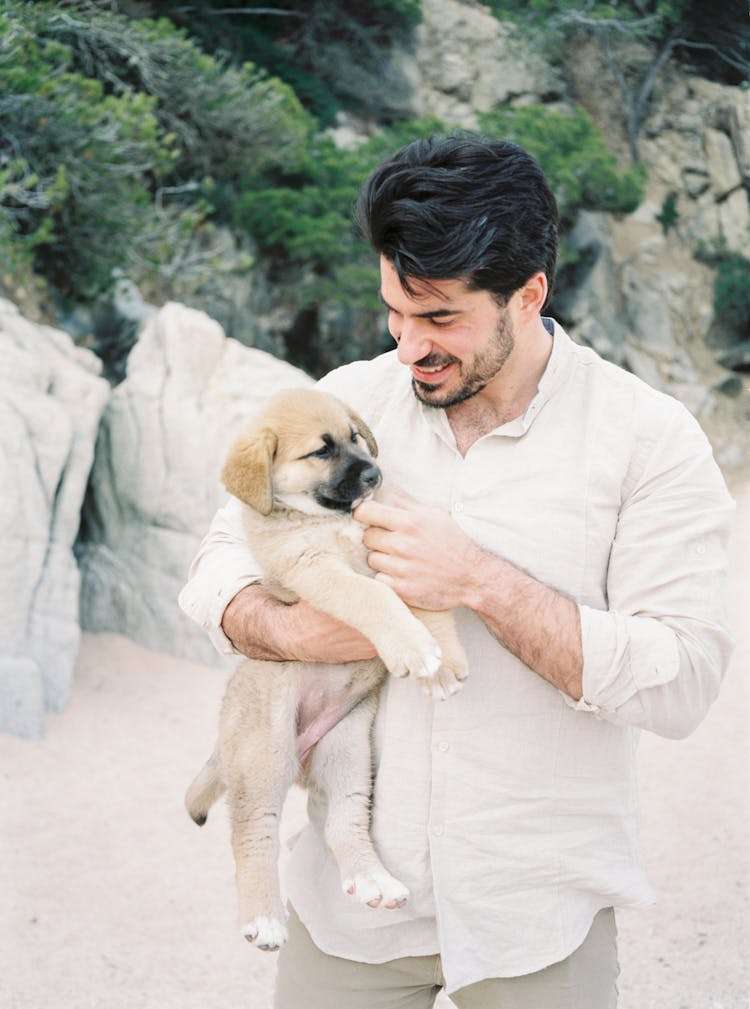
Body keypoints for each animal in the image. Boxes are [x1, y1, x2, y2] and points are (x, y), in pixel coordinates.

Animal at [186, 385, 468, 952]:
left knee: (345, 822)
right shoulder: (316, 571)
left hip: (348, 750)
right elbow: (373, 597)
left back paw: (373, 879)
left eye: (356, 437)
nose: (374, 475)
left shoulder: (396, 550)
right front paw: (414, 648)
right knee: (252, 834)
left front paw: (442, 660)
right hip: (264, 754)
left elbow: (421, 601)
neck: (332, 520)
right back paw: (264, 918)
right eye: (321, 451)